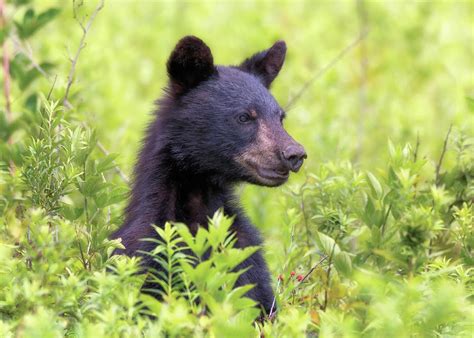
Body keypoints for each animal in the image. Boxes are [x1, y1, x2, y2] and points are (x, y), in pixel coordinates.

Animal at [113, 36, 308, 314]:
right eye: (244, 116)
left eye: (280, 117)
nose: (295, 154)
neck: (197, 204)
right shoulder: (148, 252)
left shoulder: (244, 256)